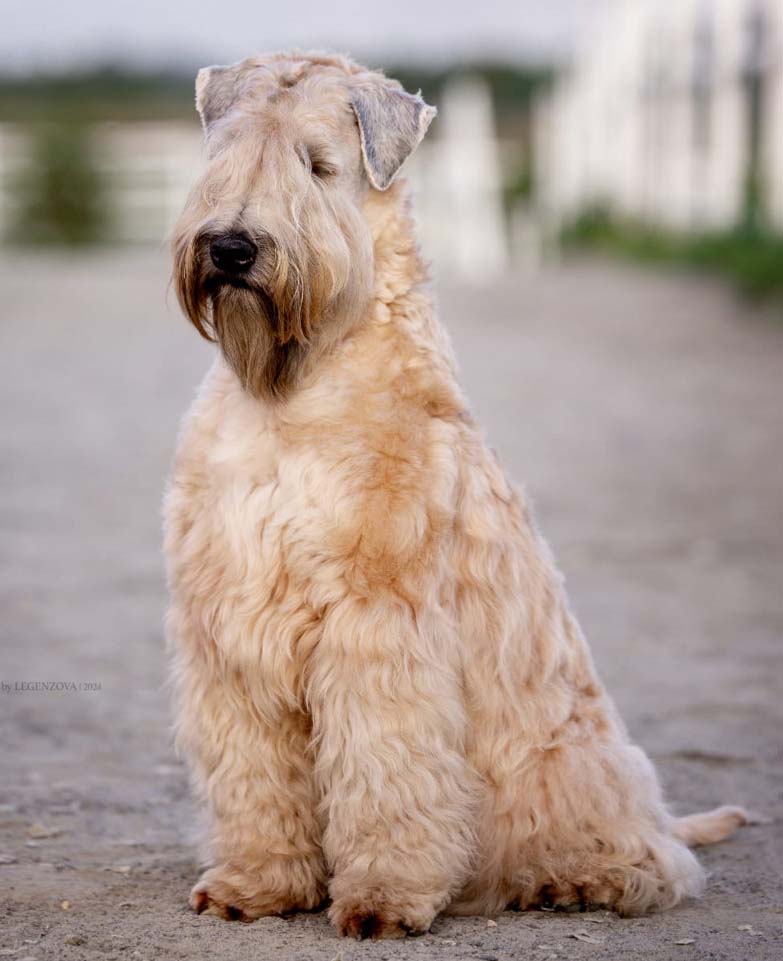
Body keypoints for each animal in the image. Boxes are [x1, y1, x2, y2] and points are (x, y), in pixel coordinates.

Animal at [165, 51, 746, 940]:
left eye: (317, 164)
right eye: (223, 152)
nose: (230, 247)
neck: (293, 390)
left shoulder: (377, 624)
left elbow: (386, 768)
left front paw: (382, 897)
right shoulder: (233, 620)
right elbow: (254, 775)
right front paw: (257, 881)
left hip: (572, 769)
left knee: (650, 858)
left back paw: (575, 878)